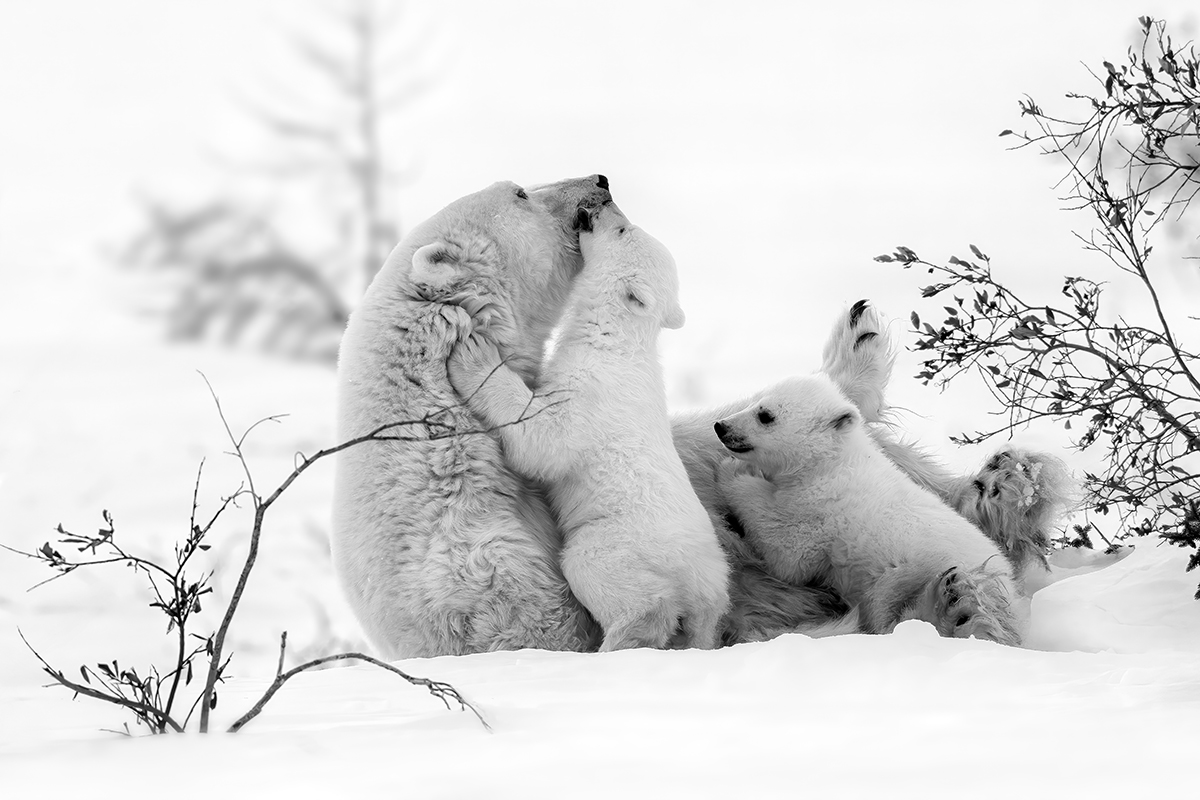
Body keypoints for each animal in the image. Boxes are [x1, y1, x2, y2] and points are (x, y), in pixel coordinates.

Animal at [448, 203, 731, 651]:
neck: (614, 339)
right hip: (710, 587)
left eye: (621, 229)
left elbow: (543, 440)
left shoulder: (590, 392)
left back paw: (623, 636)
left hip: (623, 539)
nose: (597, 205)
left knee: (595, 566)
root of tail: (703, 587)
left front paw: (474, 353)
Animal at [712, 372, 1022, 646]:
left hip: (908, 573)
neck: (833, 461)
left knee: (890, 609)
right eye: (754, 401)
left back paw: (950, 608)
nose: (721, 426)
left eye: (765, 415)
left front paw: (735, 471)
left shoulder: (821, 505)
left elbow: (788, 553)